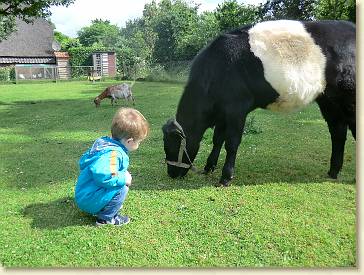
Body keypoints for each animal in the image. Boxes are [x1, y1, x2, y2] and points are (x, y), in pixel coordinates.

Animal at [162, 20, 356, 188]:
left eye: (172, 144)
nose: (171, 173)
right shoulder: (224, 111)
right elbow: (217, 139)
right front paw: (209, 167)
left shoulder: (237, 108)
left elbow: (231, 142)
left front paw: (225, 177)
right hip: (329, 101)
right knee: (338, 133)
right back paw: (333, 171)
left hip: (349, 100)